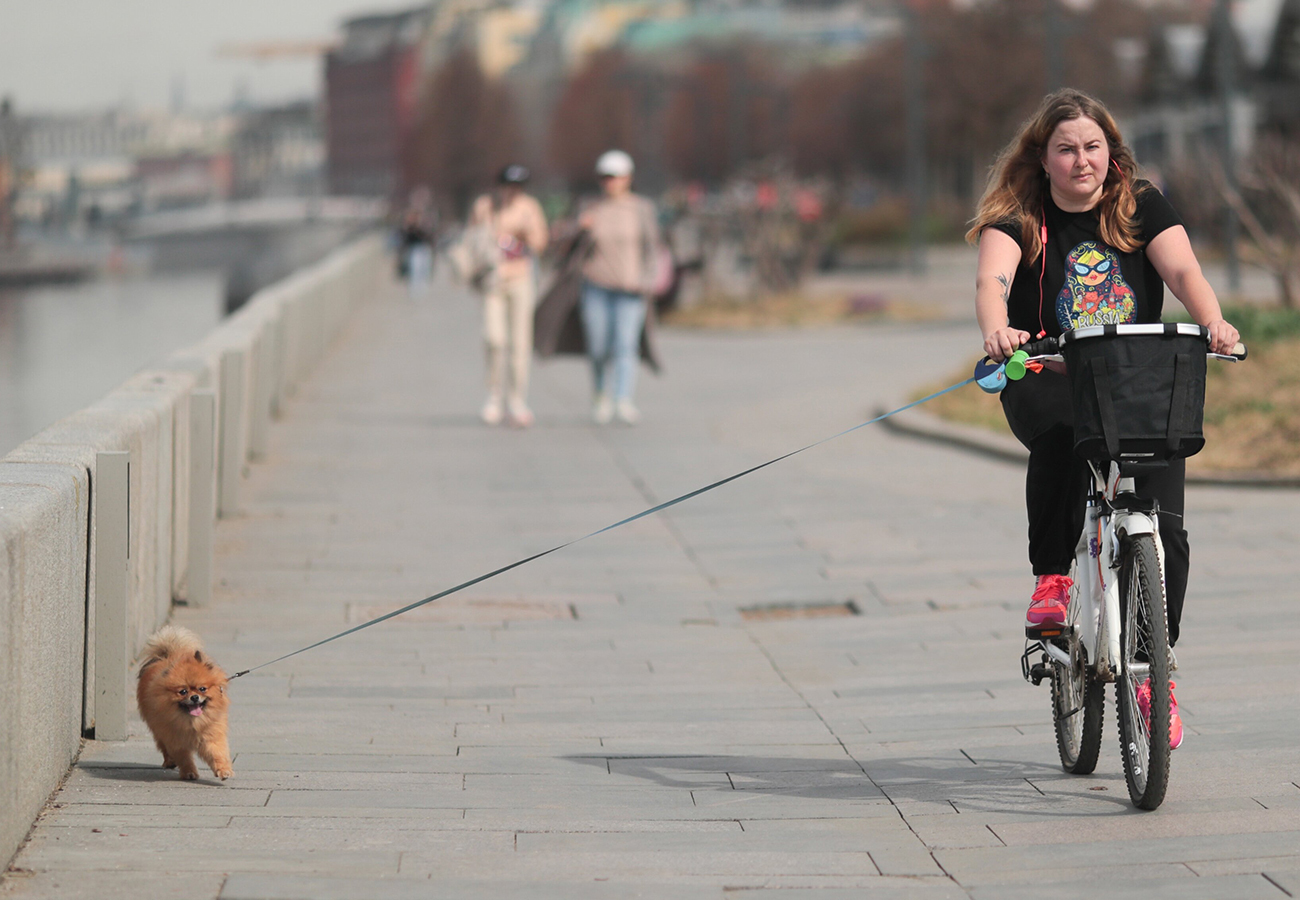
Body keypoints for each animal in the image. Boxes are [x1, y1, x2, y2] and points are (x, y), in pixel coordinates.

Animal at [135, 626, 235, 780]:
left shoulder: (211, 735)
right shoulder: (174, 740)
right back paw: (169, 762)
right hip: (158, 729)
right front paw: (189, 772)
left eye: (202, 689)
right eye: (182, 691)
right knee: (163, 747)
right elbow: (183, 758)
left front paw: (223, 770)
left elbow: (217, 753)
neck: (191, 722)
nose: (194, 697)